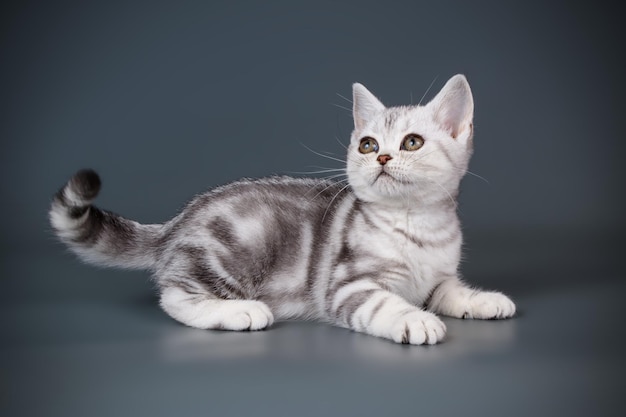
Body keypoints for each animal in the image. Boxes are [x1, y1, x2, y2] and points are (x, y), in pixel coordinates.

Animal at [48, 74, 516, 344]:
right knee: (175, 297)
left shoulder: (436, 281)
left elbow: (451, 291)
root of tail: (178, 222)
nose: (381, 157)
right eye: (368, 144)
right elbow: (384, 304)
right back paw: (240, 311)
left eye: (412, 142)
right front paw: (415, 320)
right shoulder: (347, 285)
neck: (417, 225)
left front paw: (483, 300)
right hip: (234, 245)